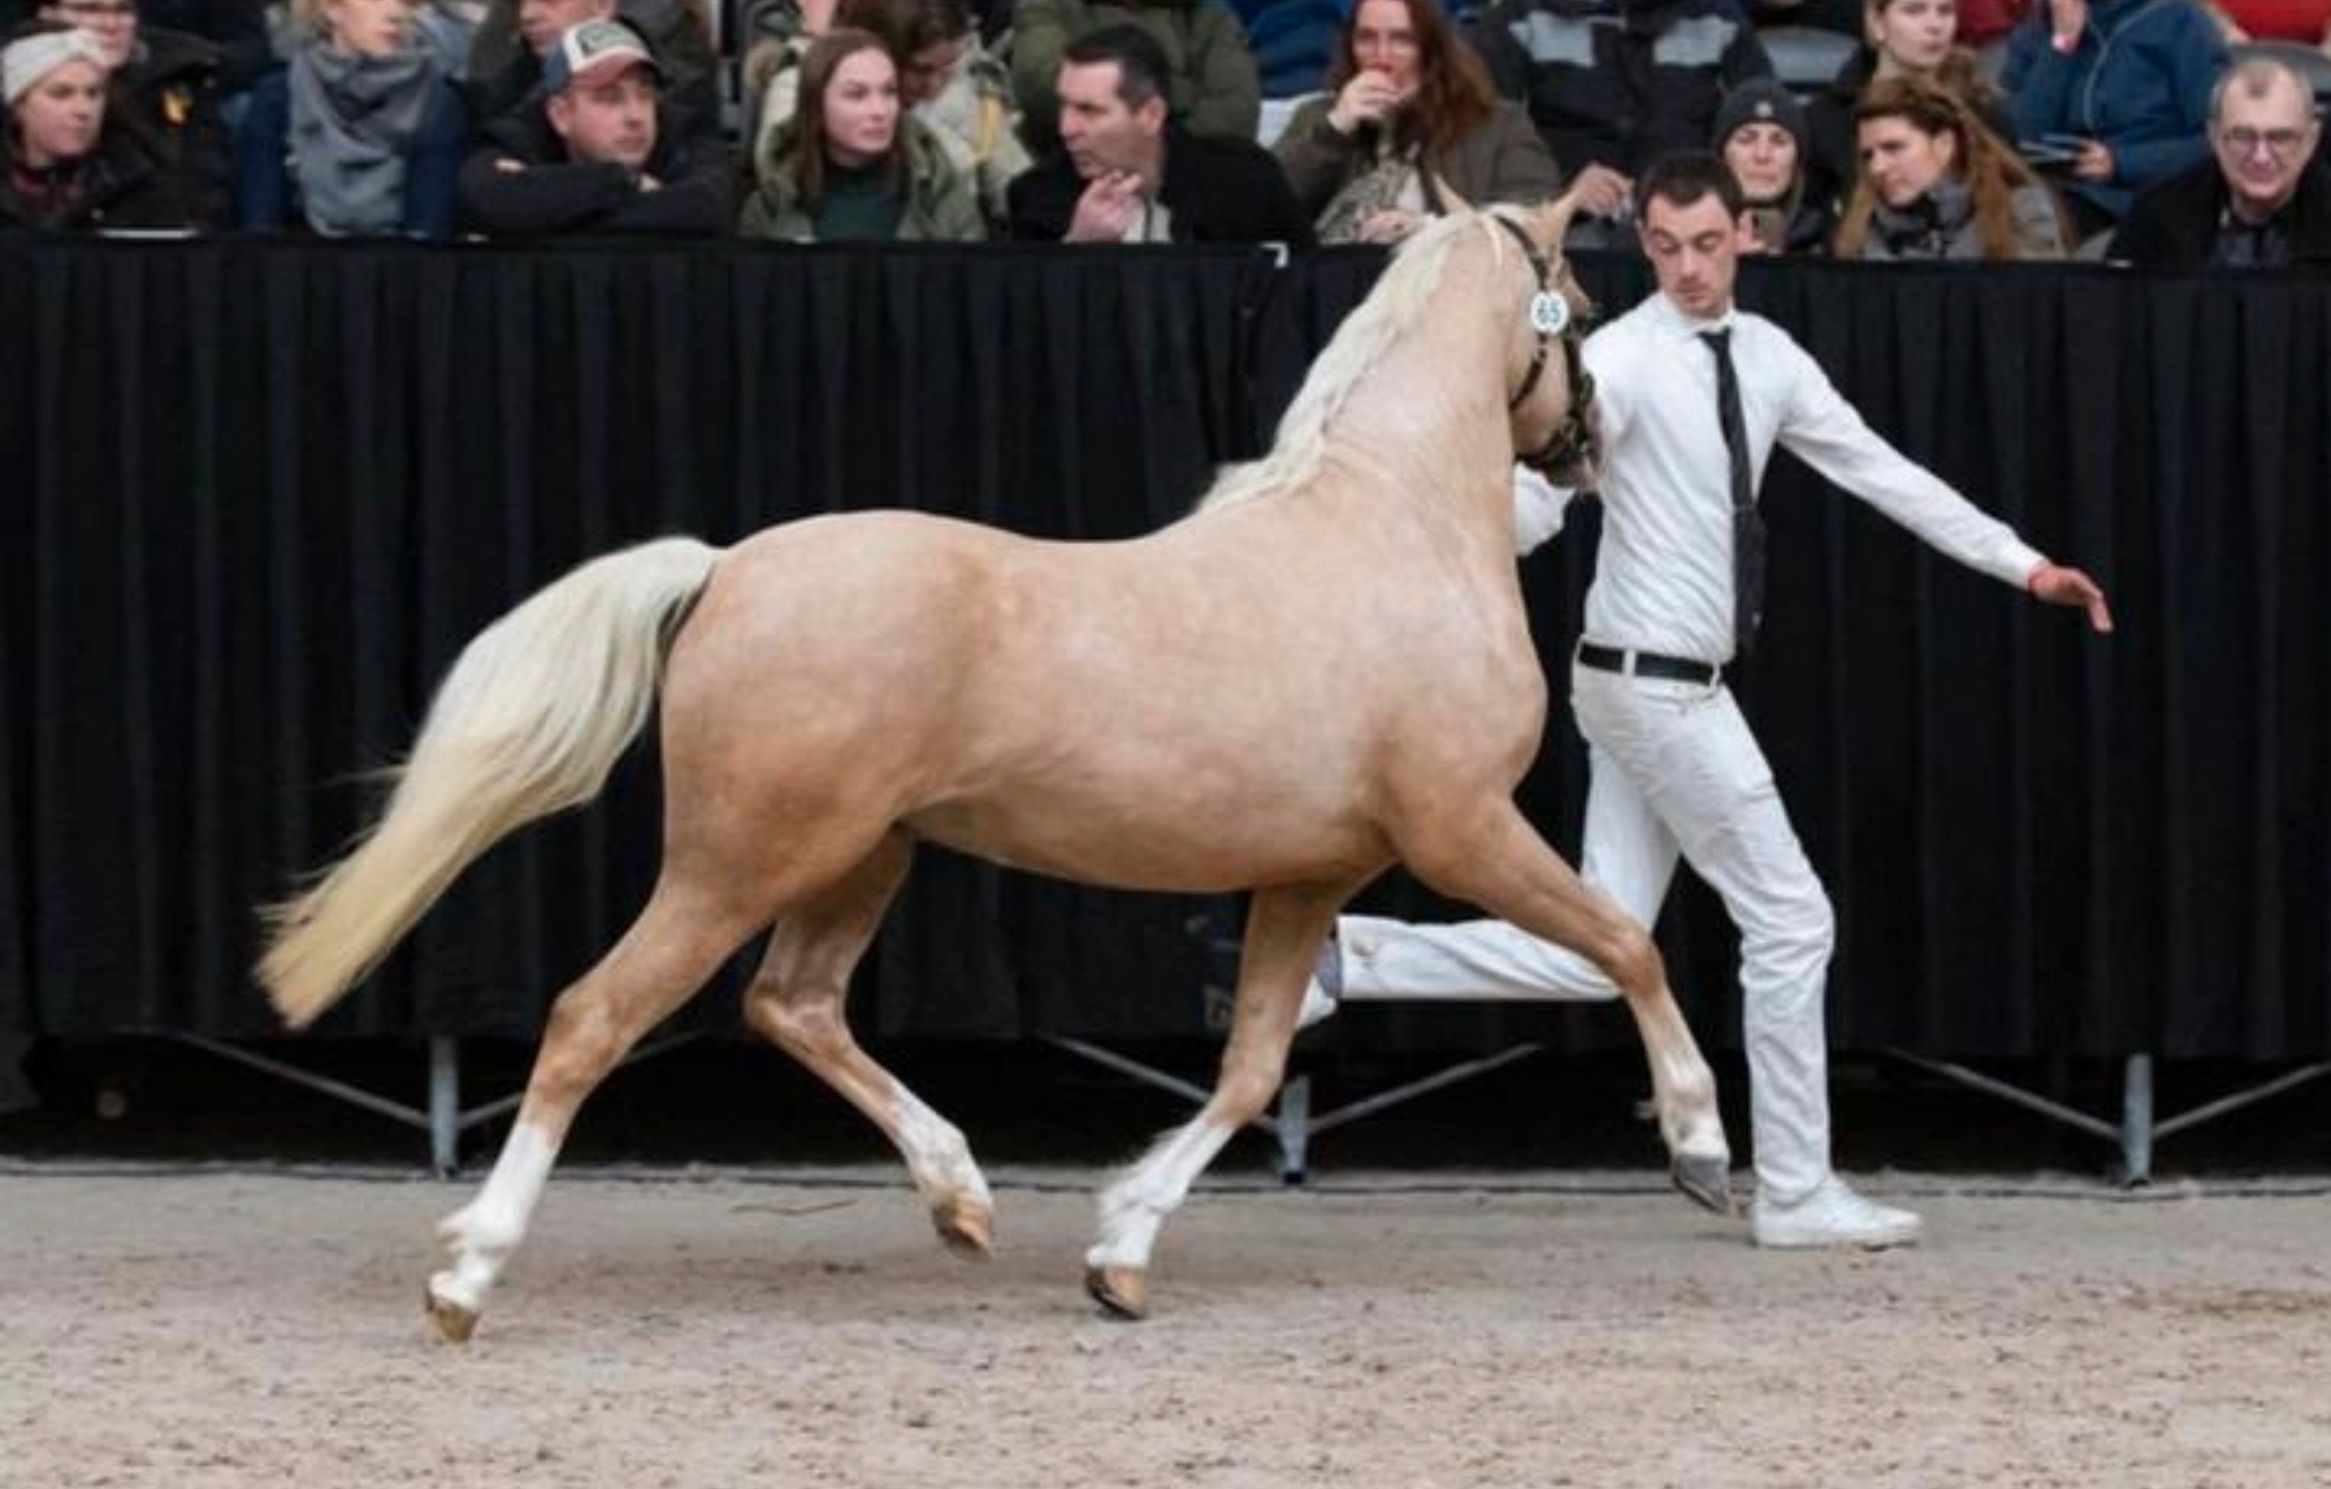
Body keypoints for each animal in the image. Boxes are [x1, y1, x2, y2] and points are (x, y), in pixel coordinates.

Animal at [257, 199, 1732, 1342]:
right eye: (1578, 305)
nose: (1587, 448)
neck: (1390, 527)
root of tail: (725, 568)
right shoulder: (1458, 831)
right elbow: (1627, 945)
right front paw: (1701, 1151)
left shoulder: (1308, 875)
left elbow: (1252, 1070)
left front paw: (1119, 1254)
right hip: (740, 862)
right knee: (591, 1018)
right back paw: (467, 1275)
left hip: (863, 856)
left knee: (794, 1007)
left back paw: (959, 1196)